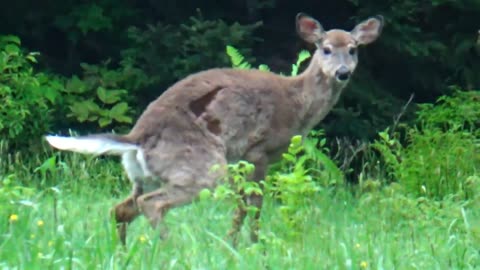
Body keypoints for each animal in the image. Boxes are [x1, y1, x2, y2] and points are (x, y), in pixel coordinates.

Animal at [45, 12, 382, 245]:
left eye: (353, 49)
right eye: (326, 49)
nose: (342, 72)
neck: (297, 103)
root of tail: (136, 138)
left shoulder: (241, 159)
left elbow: (242, 205)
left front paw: (232, 244)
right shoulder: (258, 151)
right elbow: (254, 204)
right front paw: (252, 246)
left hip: (145, 176)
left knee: (121, 208)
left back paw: (124, 251)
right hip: (202, 167)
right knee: (151, 205)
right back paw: (172, 249)